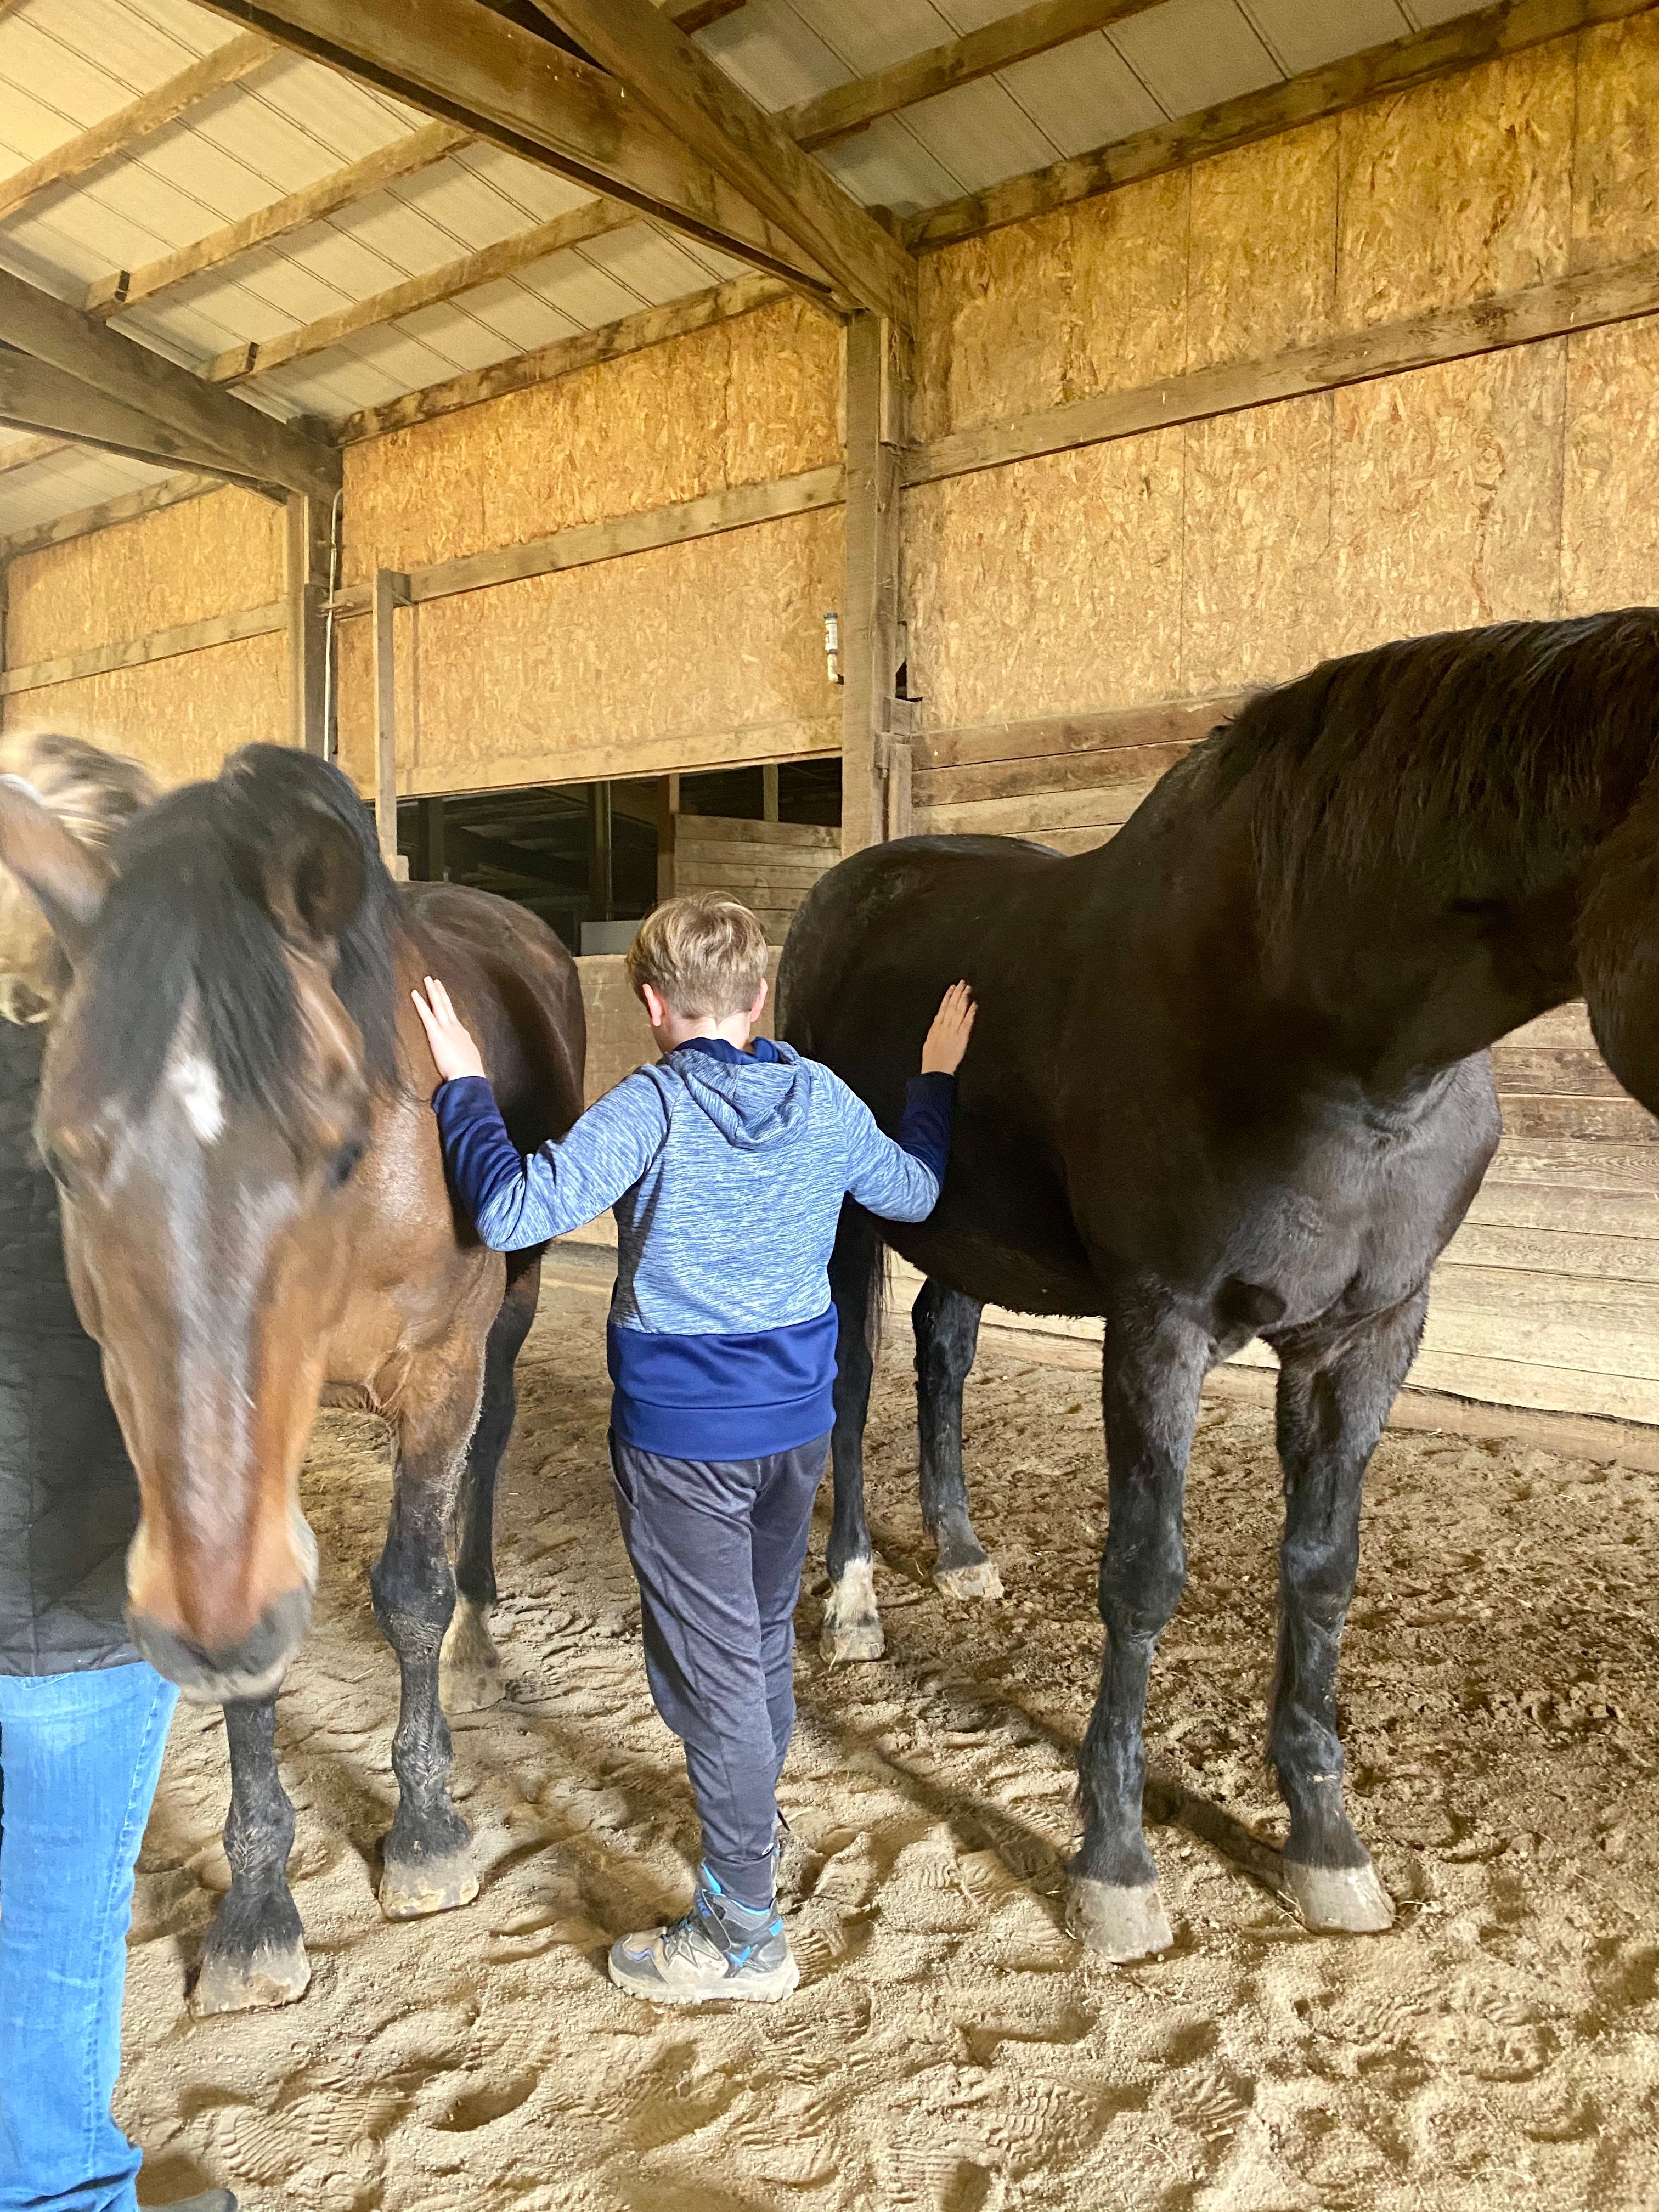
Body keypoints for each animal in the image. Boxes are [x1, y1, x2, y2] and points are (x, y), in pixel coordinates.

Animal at [0, 737, 584, 2014]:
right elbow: (256, 1664)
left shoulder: (439, 1372)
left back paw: (480, 1632)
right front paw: (259, 1911)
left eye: (341, 1147)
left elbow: (409, 1594)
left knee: (488, 1461)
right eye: (60, 1157)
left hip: (508, 1321)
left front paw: (426, 1834)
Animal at [777, 609, 1659, 1963]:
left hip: (968, 1229)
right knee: (854, 1382)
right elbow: (1144, 1573)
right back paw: (857, 1603)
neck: (1325, 1039)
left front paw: (1325, 1844)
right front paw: (1115, 1863)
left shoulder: (1368, 1337)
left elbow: (1321, 1570)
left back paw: (963, 1553)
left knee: (941, 1351)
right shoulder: (1161, 1326)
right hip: (847, 1223)